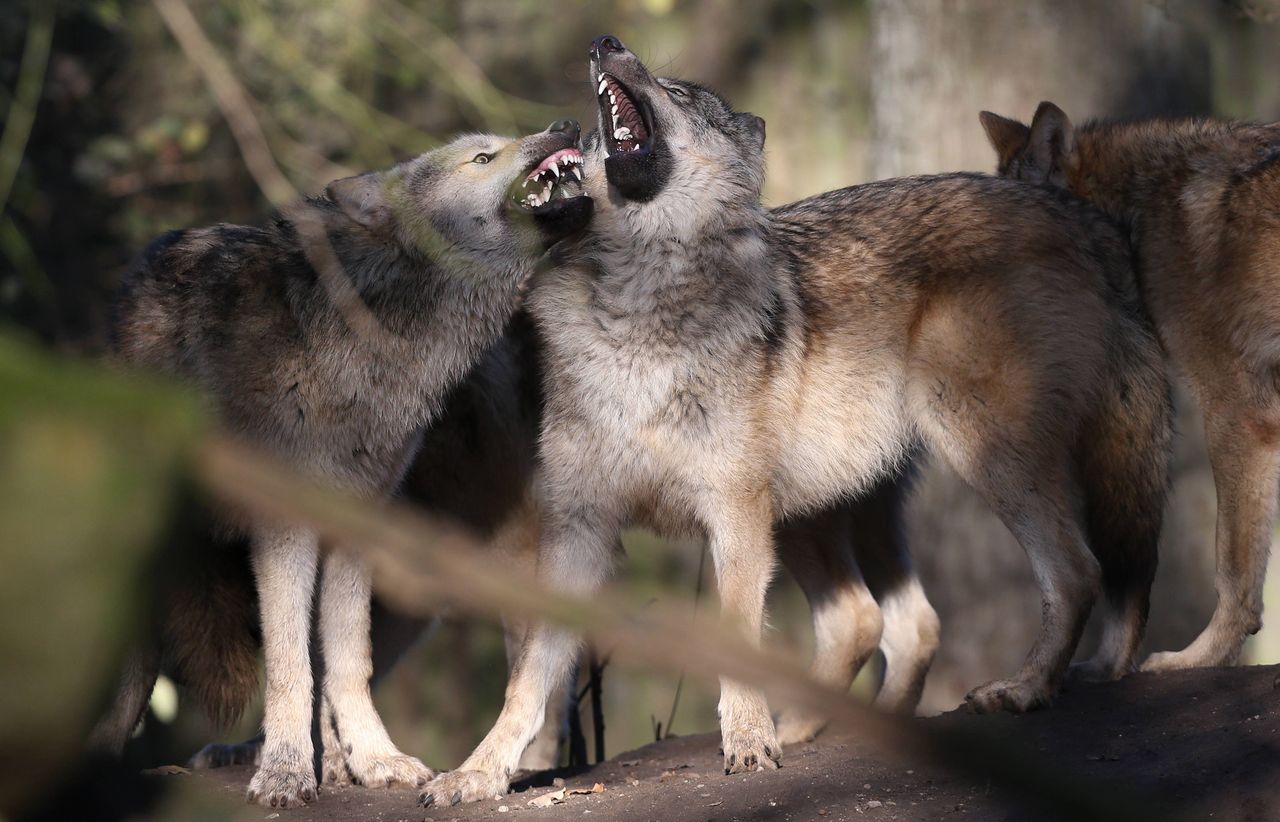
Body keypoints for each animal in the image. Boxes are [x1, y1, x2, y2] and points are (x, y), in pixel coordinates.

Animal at [417, 35, 1172, 804]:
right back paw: (833, 728)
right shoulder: (579, 528)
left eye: (680, 93)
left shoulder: (733, 513)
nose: (606, 42)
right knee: (882, 623)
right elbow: (527, 679)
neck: (632, 304)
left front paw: (748, 743)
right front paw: (477, 772)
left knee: (1073, 572)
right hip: (818, 507)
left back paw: (1022, 689)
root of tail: (1073, 210)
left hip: (982, 460)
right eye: (601, 135)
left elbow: (733, 639)